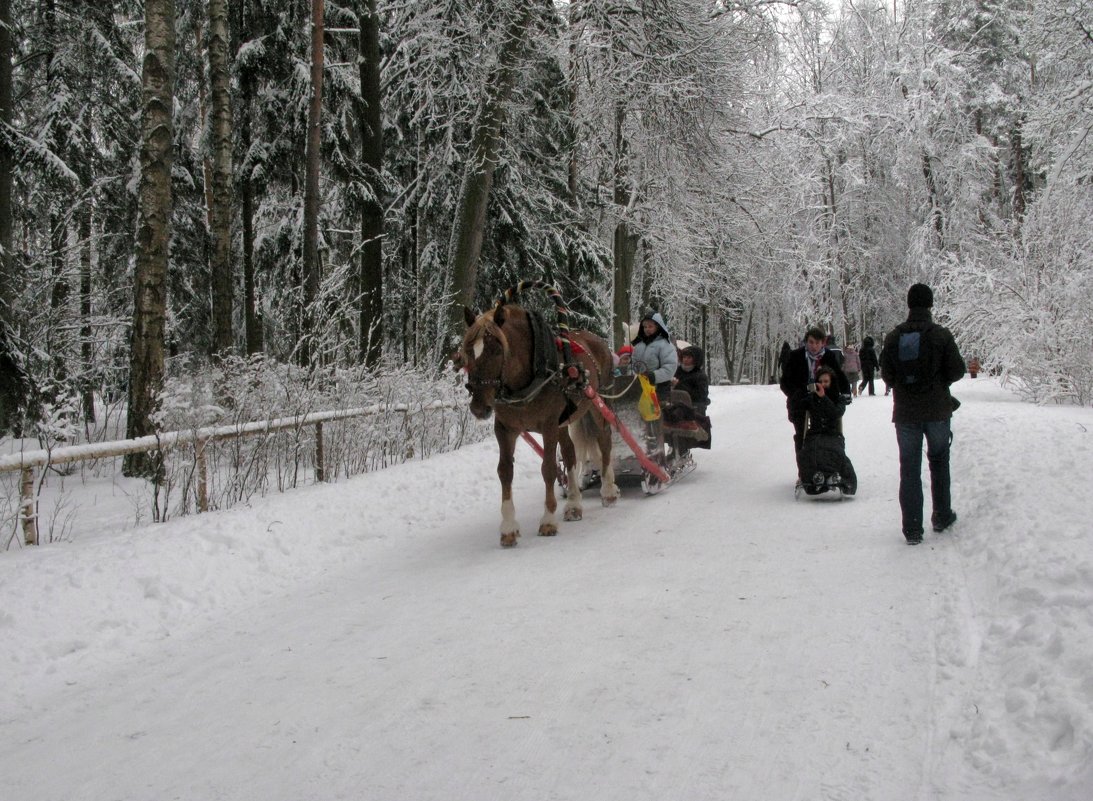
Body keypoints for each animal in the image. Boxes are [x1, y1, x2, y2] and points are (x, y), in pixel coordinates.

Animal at [459, 299, 620, 544]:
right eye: (468, 350)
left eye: (496, 349)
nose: (479, 407)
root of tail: (596, 340)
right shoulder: (505, 429)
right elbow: (505, 471)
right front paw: (508, 528)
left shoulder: (549, 425)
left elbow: (549, 468)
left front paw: (548, 520)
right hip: (565, 419)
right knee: (570, 452)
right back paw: (573, 504)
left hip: (598, 403)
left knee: (604, 440)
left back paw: (608, 490)